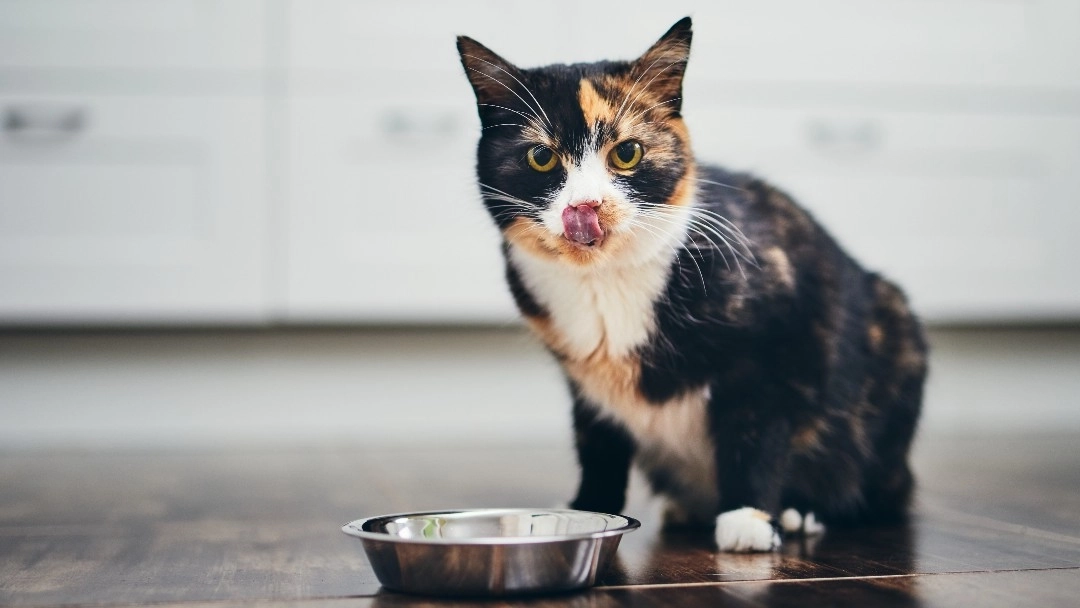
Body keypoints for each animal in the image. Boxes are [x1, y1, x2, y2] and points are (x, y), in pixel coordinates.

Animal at [455, 17, 928, 552]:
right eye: (540, 157)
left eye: (627, 152)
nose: (586, 206)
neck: (605, 281)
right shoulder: (586, 383)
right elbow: (597, 443)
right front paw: (587, 509)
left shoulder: (775, 341)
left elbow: (755, 428)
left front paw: (748, 518)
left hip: (892, 338)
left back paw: (800, 511)